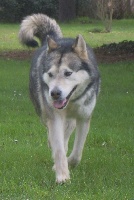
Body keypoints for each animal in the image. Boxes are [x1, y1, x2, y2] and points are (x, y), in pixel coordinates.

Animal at [18, 13, 100, 183]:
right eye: (50, 74)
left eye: (68, 73)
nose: (54, 93)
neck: (72, 102)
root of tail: (55, 38)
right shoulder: (54, 117)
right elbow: (59, 149)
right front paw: (62, 176)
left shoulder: (84, 118)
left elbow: (77, 153)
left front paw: (69, 163)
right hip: (43, 112)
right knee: (54, 134)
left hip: (71, 120)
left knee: (68, 132)